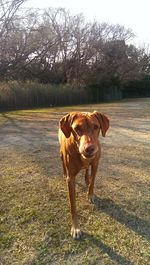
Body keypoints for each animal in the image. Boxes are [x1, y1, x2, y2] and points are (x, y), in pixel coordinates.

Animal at [58, 110, 109, 238]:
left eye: (96, 127)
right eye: (77, 128)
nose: (89, 148)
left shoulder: (96, 164)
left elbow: (92, 182)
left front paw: (90, 194)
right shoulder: (71, 178)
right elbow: (73, 205)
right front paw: (75, 228)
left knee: (87, 171)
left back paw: (86, 178)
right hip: (61, 154)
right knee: (63, 163)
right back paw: (64, 173)